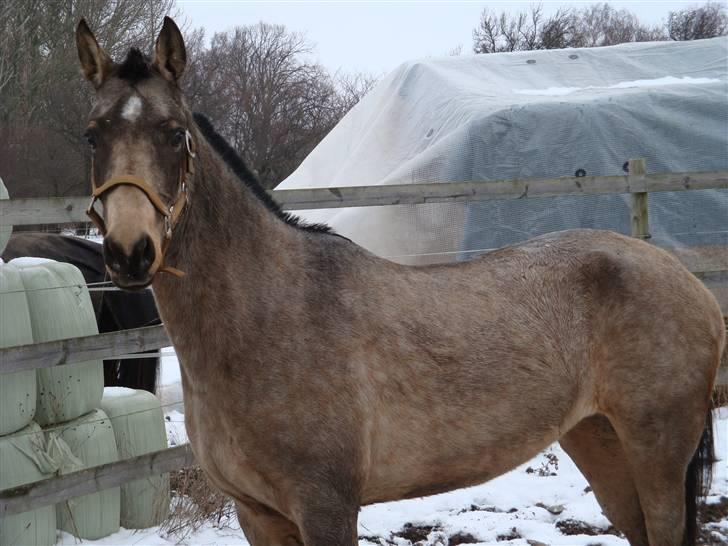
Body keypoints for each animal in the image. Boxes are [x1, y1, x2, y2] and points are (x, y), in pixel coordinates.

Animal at [74, 15, 724, 544]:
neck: (269, 317)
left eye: (173, 132)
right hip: (599, 439)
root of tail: (681, 278)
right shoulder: (258, 514)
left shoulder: (326, 508)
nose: (130, 252)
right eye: (93, 134)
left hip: (656, 449)